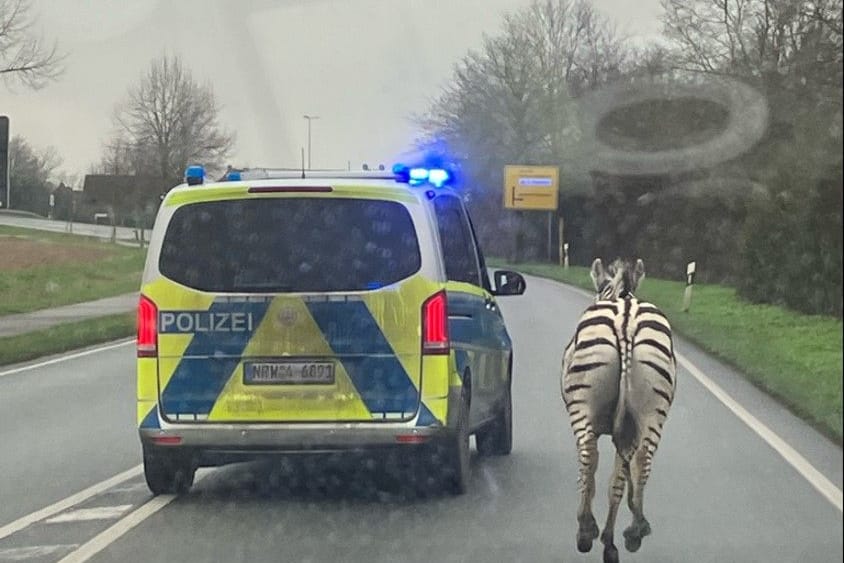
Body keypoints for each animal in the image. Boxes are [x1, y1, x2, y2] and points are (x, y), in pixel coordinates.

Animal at [564, 260, 676, 563]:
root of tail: (627, 319)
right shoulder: (627, 432)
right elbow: (618, 482)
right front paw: (611, 543)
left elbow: (595, 477)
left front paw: (598, 534)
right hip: (653, 411)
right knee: (642, 461)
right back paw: (635, 530)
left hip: (582, 406)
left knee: (589, 456)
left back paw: (585, 529)